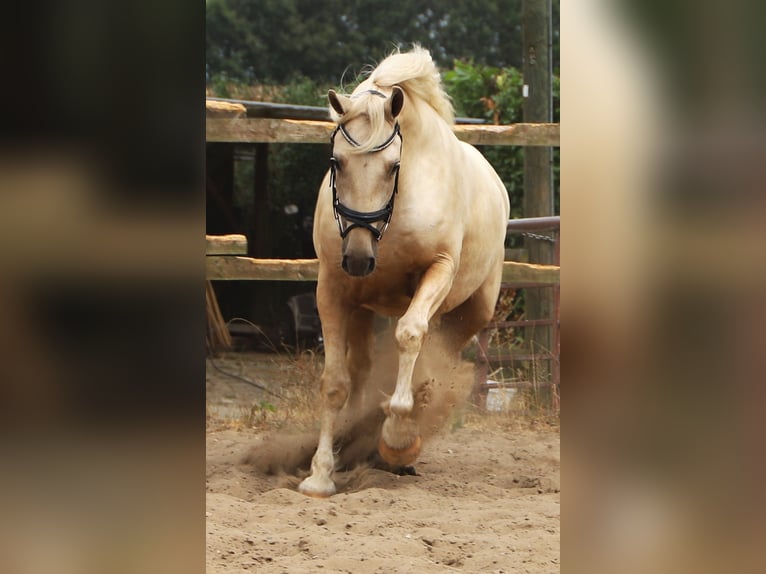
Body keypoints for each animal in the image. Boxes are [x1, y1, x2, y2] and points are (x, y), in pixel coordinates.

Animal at [299, 47, 510, 497]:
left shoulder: (437, 273)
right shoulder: (334, 290)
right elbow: (335, 382)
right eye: (336, 162)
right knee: (361, 370)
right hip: (364, 309)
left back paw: (399, 447)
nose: (358, 259)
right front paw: (320, 475)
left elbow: (410, 337)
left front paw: (396, 438)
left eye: (394, 166)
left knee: (432, 359)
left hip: (470, 312)